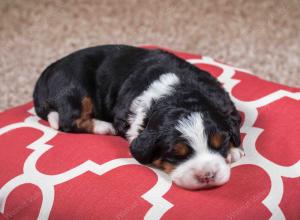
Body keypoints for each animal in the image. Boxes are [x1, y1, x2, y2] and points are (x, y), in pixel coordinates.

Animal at [33, 44, 244, 189]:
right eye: (177, 154)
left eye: (220, 144)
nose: (207, 175)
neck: (178, 93)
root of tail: (45, 75)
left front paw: (234, 150)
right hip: (75, 87)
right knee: (68, 120)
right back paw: (104, 127)